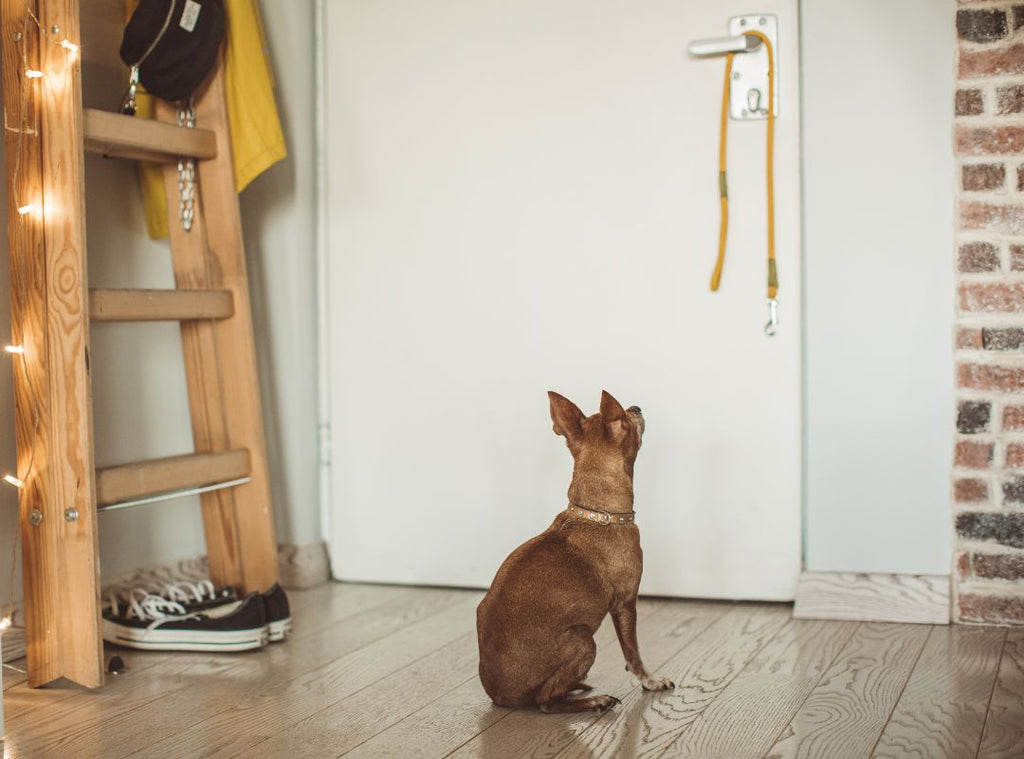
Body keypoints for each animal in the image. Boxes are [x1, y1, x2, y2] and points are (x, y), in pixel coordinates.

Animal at [477, 387, 675, 712]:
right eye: (626, 417)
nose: (637, 406)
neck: (598, 513)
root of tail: (501, 695)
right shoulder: (626, 602)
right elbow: (633, 652)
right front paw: (651, 681)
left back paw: (579, 686)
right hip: (583, 640)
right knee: (546, 701)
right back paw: (594, 700)